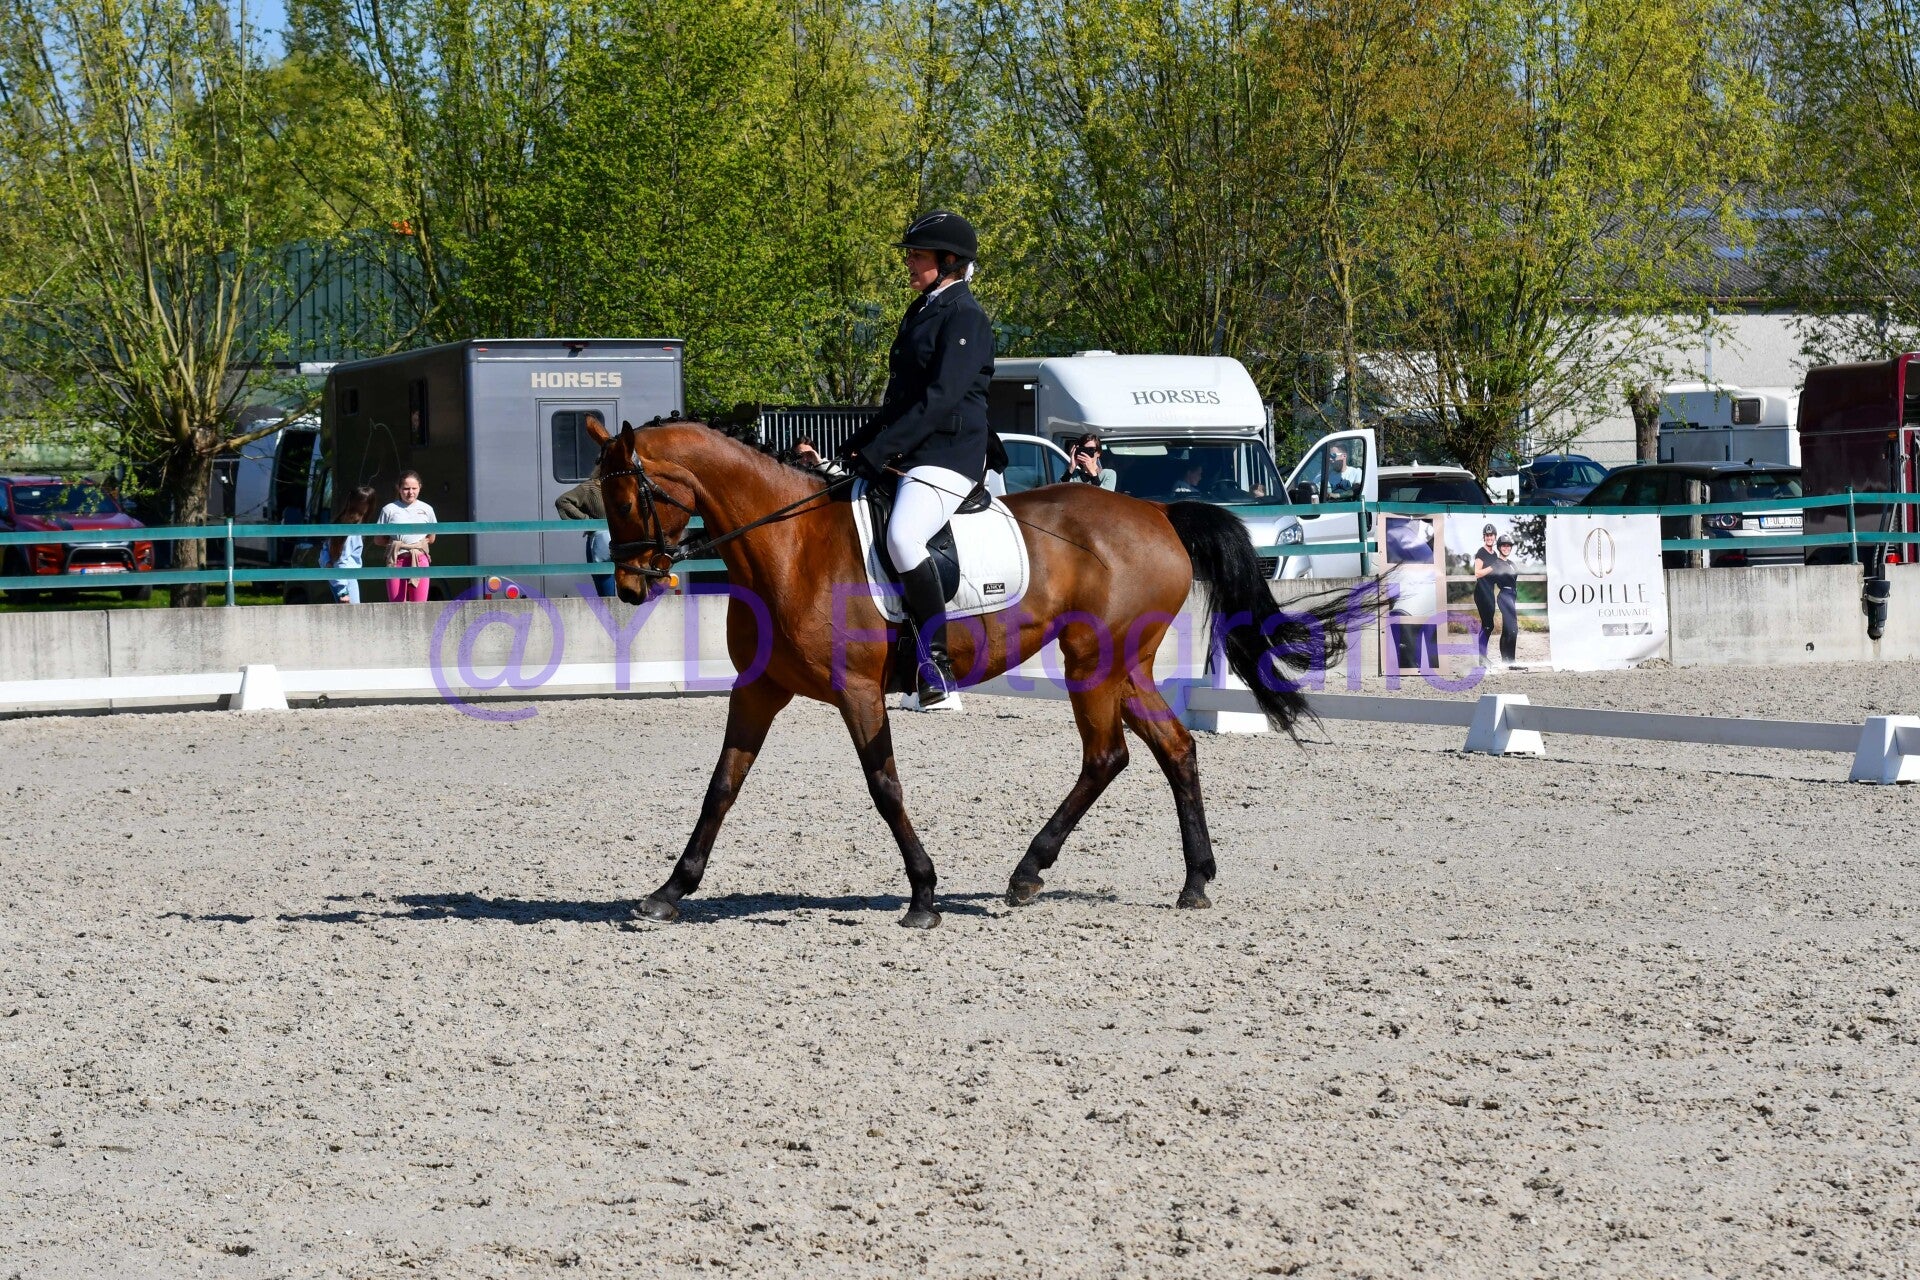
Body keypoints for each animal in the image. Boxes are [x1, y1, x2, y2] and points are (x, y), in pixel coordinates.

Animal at [588, 417, 1348, 928]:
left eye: (626, 499)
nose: (629, 585)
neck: (788, 546)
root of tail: (1157, 513)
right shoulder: (759, 690)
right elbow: (721, 788)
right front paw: (668, 892)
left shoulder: (857, 692)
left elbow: (884, 787)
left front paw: (923, 894)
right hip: (1124, 666)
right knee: (1175, 748)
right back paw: (1194, 880)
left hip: (1094, 662)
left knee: (1107, 756)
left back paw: (1028, 873)